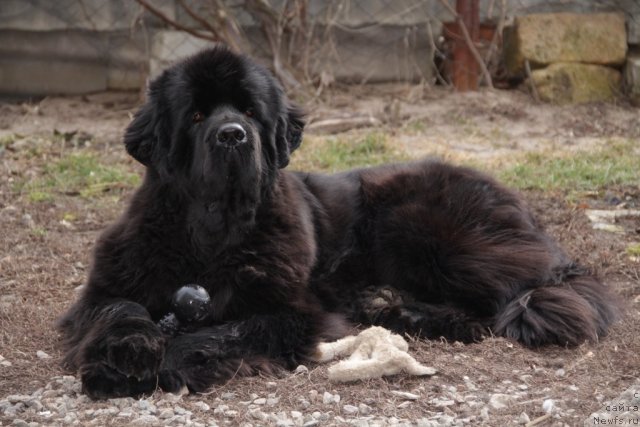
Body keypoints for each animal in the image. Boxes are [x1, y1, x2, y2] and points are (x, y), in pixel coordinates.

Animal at [58, 47, 620, 402]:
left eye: (249, 111)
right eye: (196, 116)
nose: (233, 135)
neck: (214, 230)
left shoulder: (292, 311)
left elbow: (225, 329)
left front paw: (169, 361)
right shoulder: (107, 287)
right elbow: (121, 308)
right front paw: (125, 356)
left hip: (426, 229)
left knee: (500, 305)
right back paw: (390, 306)